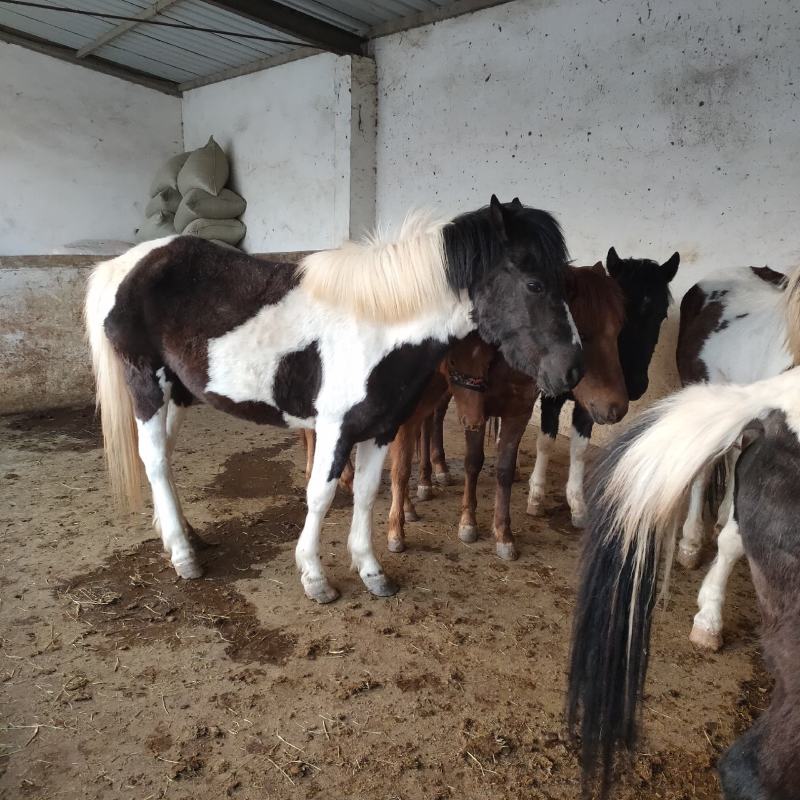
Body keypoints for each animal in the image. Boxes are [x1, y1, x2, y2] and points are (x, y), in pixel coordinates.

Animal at [85, 196, 584, 604]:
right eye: (534, 284)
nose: (572, 371)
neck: (379, 326)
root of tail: (123, 266)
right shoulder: (335, 429)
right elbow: (321, 494)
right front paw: (314, 578)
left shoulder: (381, 428)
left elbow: (365, 492)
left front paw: (371, 571)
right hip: (147, 385)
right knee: (154, 460)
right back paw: (183, 557)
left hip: (179, 392)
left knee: (164, 462)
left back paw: (185, 537)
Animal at [527, 247, 680, 528]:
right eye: (625, 314)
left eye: (661, 315)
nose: (635, 384)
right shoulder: (552, 398)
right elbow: (545, 440)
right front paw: (536, 495)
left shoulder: (590, 405)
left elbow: (579, 449)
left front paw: (577, 505)